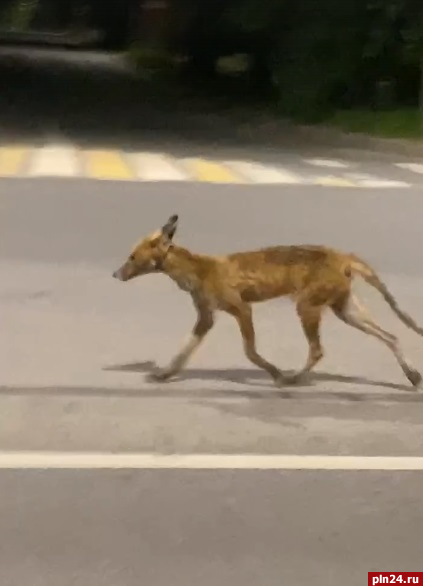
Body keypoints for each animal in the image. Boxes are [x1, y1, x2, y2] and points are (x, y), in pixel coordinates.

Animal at [112, 213, 423, 388]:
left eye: (132, 257)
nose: (115, 274)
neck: (198, 271)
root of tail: (343, 255)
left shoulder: (241, 308)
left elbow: (250, 352)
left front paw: (274, 372)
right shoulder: (206, 317)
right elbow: (183, 352)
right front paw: (164, 375)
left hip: (307, 307)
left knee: (318, 350)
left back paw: (292, 379)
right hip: (344, 310)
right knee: (391, 336)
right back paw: (413, 375)